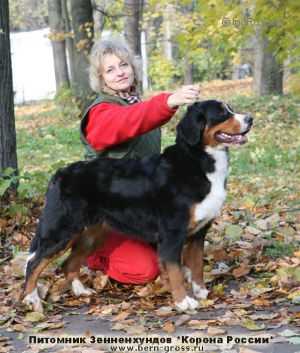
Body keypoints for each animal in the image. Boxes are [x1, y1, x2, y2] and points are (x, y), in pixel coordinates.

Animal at [24, 99, 253, 310]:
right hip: (61, 230)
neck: (199, 162)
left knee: (68, 263)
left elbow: (196, 266)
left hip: (92, 234)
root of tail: (59, 173)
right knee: (34, 263)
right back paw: (31, 299)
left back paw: (81, 291)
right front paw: (183, 301)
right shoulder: (172, 233)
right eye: (222, 113)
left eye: (230, 109)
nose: (250, 118)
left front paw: (201, 292)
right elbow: (176, 272)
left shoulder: (198, 233)